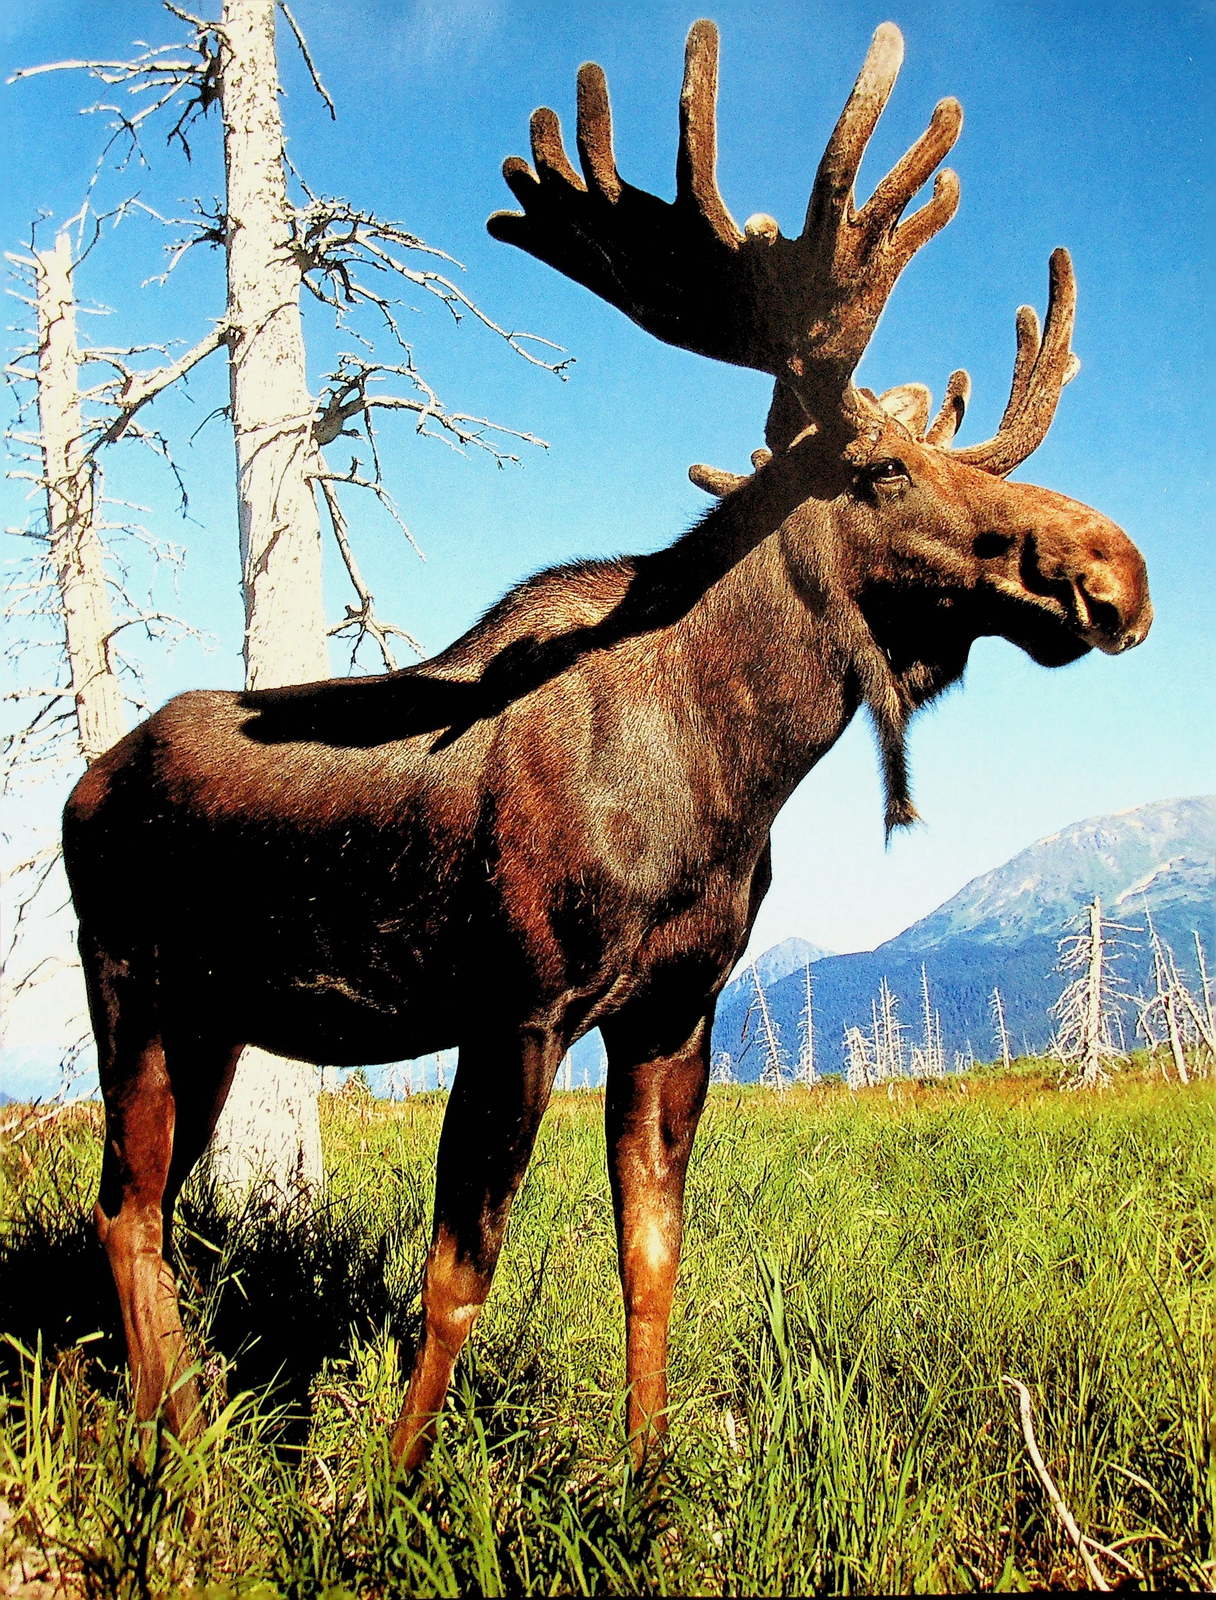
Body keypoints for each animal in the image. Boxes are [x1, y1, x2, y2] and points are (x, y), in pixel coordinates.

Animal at [62, 20, 1151, 1474]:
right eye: (883, 473)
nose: (1117, 570)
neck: (733, 776)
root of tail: (79, 790)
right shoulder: (516, 1008)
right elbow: (457, 1277)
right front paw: (393, 1488)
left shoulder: (674, 1012)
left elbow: (653, 1258)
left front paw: (646, 1481)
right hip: (131, 986)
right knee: (126, 1206)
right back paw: (180, 1457)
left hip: (219, 1023)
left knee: (136, 1205)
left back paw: (160, 1429)